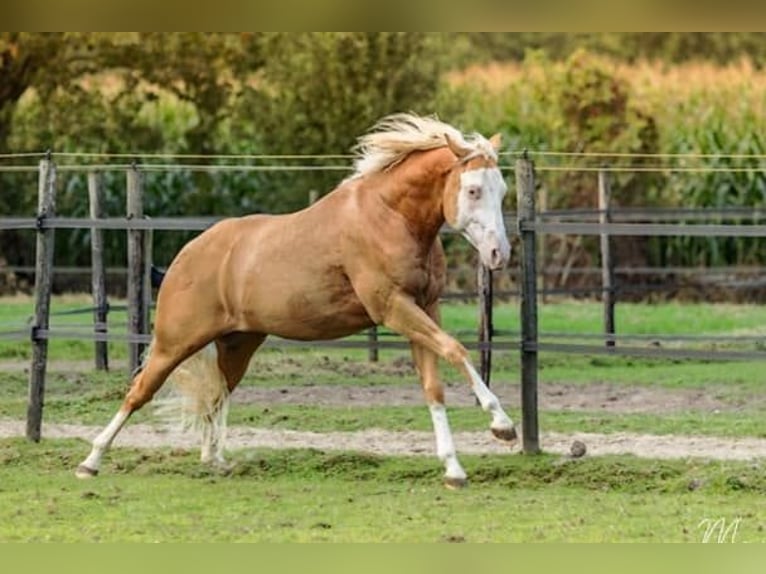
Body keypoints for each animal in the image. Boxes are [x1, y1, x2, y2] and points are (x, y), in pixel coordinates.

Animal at [78, 113, 516, 490]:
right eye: (473, 190)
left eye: (502, 191)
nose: (500, 254)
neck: (389, 217)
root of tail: (188, 254)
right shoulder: (393, 308)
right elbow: (456, 349)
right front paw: (502, 425)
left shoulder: (424, 308)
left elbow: (433, 386)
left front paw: (454, 469)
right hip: (174, 343)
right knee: (139, 392)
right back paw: (91, 461)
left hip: (237, 345)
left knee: (217, 395)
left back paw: (215, 461)